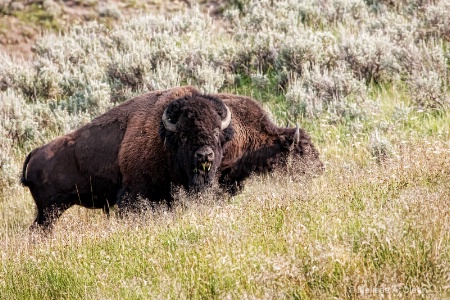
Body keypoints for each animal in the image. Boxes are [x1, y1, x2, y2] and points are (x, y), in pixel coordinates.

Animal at [21, 85, 324, 231]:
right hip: (49, 211)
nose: (320, 169)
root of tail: (35, 153)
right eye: (303, 150)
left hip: (50, 211)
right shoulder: (134, 196)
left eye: (216, 132)